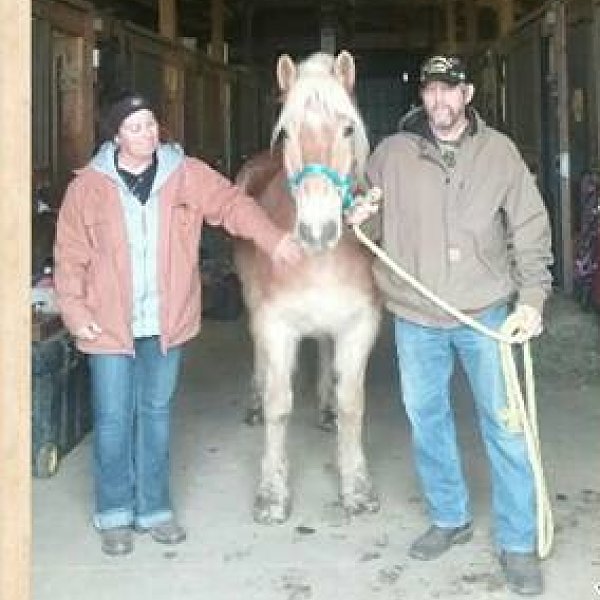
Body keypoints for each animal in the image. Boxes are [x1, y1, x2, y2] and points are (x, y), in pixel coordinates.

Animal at [233, 49, 380, 524]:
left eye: (348, 128)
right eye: (286, 132)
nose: (318, 231)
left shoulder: (358, 325)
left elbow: (353, 403)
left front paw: (357, 488)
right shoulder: (277, 325)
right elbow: (279, 405)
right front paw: (271, 494)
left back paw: (325, 408)